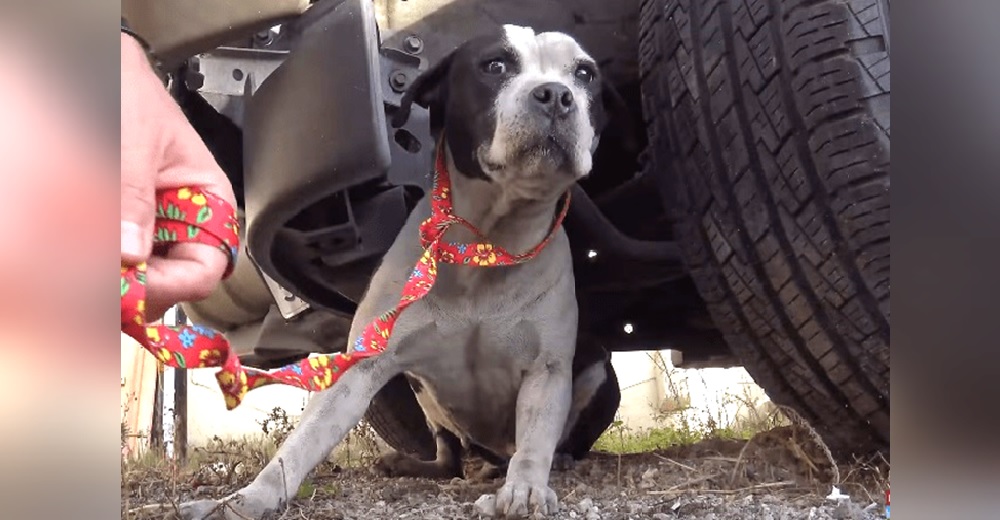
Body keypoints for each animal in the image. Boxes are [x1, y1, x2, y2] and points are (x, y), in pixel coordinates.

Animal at [182, 25, 616, 520]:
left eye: (584, 74)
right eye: (494, 65)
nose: (556, 95)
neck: (485, 243)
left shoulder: (546, 371)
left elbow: (535, 443)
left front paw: (525, 489)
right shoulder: (364, 364)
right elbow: (303, 442)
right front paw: (249, 497)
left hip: (597, 369)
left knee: (549, 441)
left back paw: (554, 461)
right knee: (448, 457)